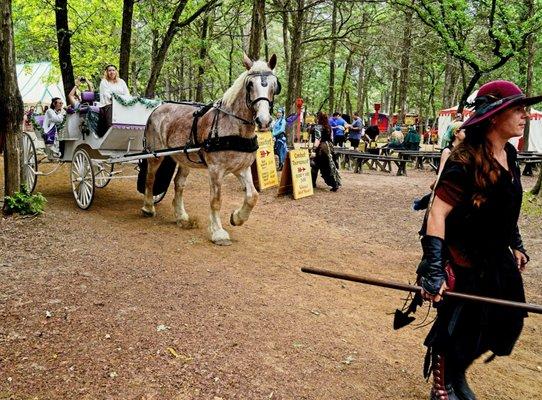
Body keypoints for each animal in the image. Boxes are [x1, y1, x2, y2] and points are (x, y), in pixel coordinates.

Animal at [142, 53, 282, 245]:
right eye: (250, 84)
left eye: (275, 86)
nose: (264, 121)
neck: (234, 127)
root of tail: (158, 107)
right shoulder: (216, 169)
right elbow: (216, 200)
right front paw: (218, 232)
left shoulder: (242, 168)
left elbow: (252, 196)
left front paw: (237, 217)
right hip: (155, 155)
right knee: (150, 178)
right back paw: (148, 207)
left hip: (184, 158)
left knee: (179, 184)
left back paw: (181, 215)